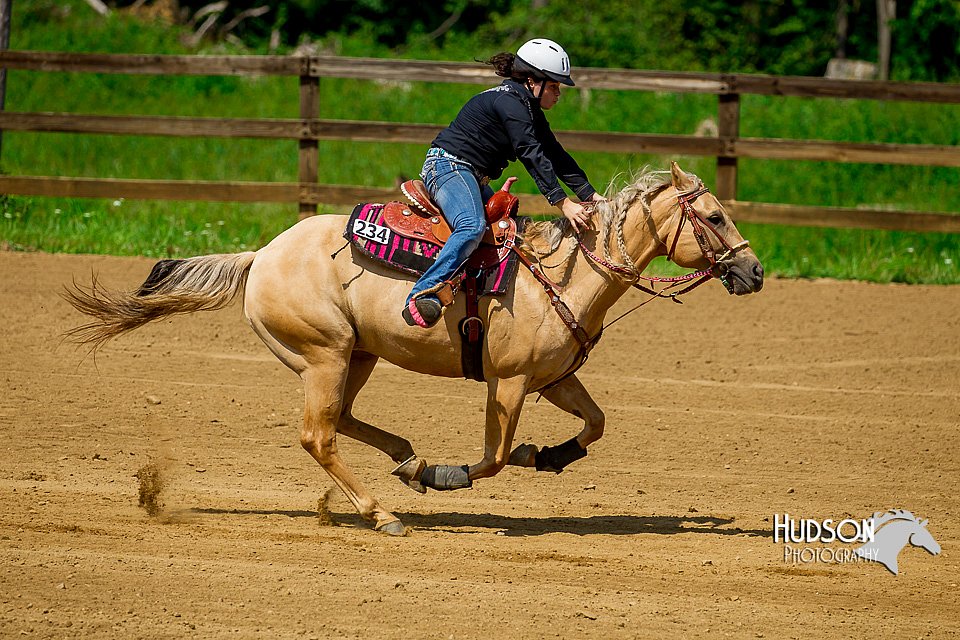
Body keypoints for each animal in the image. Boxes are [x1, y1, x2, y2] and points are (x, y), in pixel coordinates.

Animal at [62, 161, 764, 536]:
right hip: (324, 354)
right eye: (716, 217)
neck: (561, 276)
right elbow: (495, 457)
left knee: (342, 420)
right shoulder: (508, 382)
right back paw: (383, 511)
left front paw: (550, 457)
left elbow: (595, 423)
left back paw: (407, 461)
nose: (754, 272)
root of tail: (260, 254)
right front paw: (455, 474)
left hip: (356, 355)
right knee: (319, 434)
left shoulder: (554, 378)